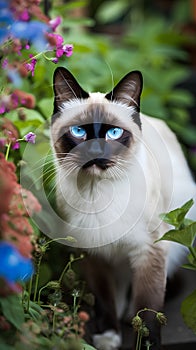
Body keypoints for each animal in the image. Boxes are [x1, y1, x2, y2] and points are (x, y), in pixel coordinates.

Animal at [51, 67, 196, 348]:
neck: (97, 194)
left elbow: (149, 309)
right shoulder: (94, 254)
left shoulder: (149, 251)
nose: (95, 150)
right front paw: (108, 335)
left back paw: (130, 315)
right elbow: (104, 299)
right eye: (78, 132)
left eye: (114, 134)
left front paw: (146, 342)